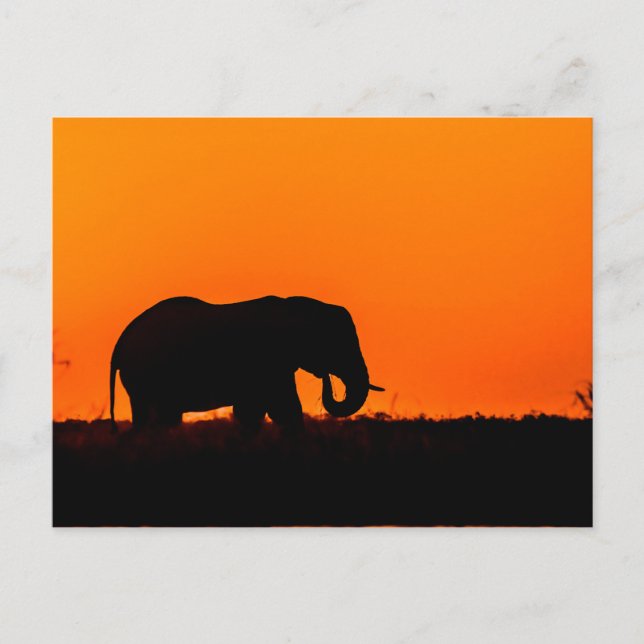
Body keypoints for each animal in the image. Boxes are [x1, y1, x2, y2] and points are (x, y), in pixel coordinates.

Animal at [109, 296, 384, 433]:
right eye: (338, 344)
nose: (326, 377)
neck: (294, 307)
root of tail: (122, 340)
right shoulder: (267, 360)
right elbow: (281, 409)